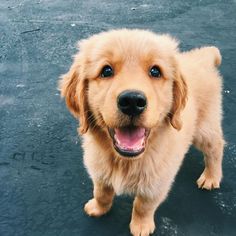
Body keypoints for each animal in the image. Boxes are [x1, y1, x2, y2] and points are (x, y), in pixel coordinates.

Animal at [59, 28, 225, 235]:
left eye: (155, 71)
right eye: (106, 71)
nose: (132, 101)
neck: (125, 161)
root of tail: (201, 58)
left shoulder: (157, 182)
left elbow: (143, 205)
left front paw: (141, 226)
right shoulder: (99, 169)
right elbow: (101, 192)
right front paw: (98, 208)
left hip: (204, 128)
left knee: (216, 147)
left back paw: (211, 177)